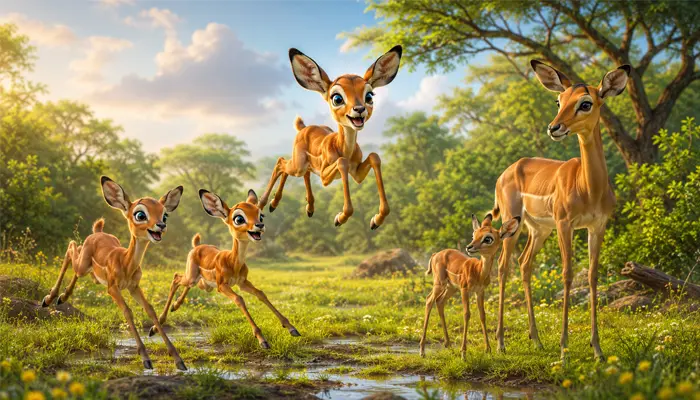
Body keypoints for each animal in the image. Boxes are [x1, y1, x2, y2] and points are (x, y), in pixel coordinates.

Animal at [41, 176, 187, 371]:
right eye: (140, 215)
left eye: (164, 215)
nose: (161, 226)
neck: (125, 263)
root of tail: (98, 232)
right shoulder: (112, 288)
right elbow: (127, 311)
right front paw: (146, 359)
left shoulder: (134, 287)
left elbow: (150, 310)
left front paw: (179, 360)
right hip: (83, 264)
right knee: (71, 247)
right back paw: (49, 299)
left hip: (91, 273)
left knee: (77, 259)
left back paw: (62, 297)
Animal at [149, 189, 300, 348]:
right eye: (238, 218)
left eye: (261, 215)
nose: (259, 225)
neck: (232, 262)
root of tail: (197, 246)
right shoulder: (222, 286)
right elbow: (239, 299)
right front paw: (262, 340)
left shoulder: (242, 282)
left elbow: (261, 294)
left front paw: (292, 328)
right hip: (192, 277)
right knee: (176, 278)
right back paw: (154, 327)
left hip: (202, 283)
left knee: (187, 284)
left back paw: (174, 306)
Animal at [257, 45, 403, 230]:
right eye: (337, 98)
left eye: (369, 96)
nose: (359, 109)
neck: (343, 149)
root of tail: (304, 128)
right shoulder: (326, 177)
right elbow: (341, 162)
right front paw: (340, 218)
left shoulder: (357, 174)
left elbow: (374, 156)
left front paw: (376, 220)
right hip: (298, 165)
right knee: (280, 163)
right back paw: (263, 204)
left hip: (303, 166)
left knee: (295, 171)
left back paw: (303, 207)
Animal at [420, 214, 520, 360]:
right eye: (474, 234)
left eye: (488, 238)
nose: (469, 247)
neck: (478, 271)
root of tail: (435, 254)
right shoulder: (464, 289)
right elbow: (467, 314)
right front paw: (463, 353)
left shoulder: (480, 291)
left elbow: (482, 315)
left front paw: (488, 349)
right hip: (440, 284)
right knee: (429, 300)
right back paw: (422, 350)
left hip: (451, 287)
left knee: (440, 302)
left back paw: (449, 345)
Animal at [492, 60, 630, 363]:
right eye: (559, 100)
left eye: (586, 102)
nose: (554, 127)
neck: (589, 188)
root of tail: (507, 170)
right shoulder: (565, 224)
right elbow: (567, 275)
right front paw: (564, 348)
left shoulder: (597, 226)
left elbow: (592, 276)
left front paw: (597, 350)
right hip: (512, 225)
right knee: (504, 266)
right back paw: (500, 343)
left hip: (539, 230)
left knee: (525, 264)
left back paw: (537, 340)